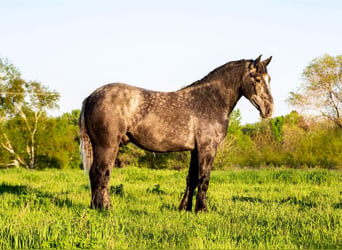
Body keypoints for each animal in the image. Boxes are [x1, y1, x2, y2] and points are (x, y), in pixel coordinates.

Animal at [79, 55, 274, 212]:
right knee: (100, 174)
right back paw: (104, 209)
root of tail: (91, 96)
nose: (269, 110)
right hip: (107, 146)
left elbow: (192, 179)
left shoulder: (195, 150)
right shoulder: (208, 148)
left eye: (269, 79)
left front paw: (185, 209)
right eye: (257, 79)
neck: (210, 100)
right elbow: (204, 179)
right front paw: (202, 210)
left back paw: (97, 207)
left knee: (97, 175)